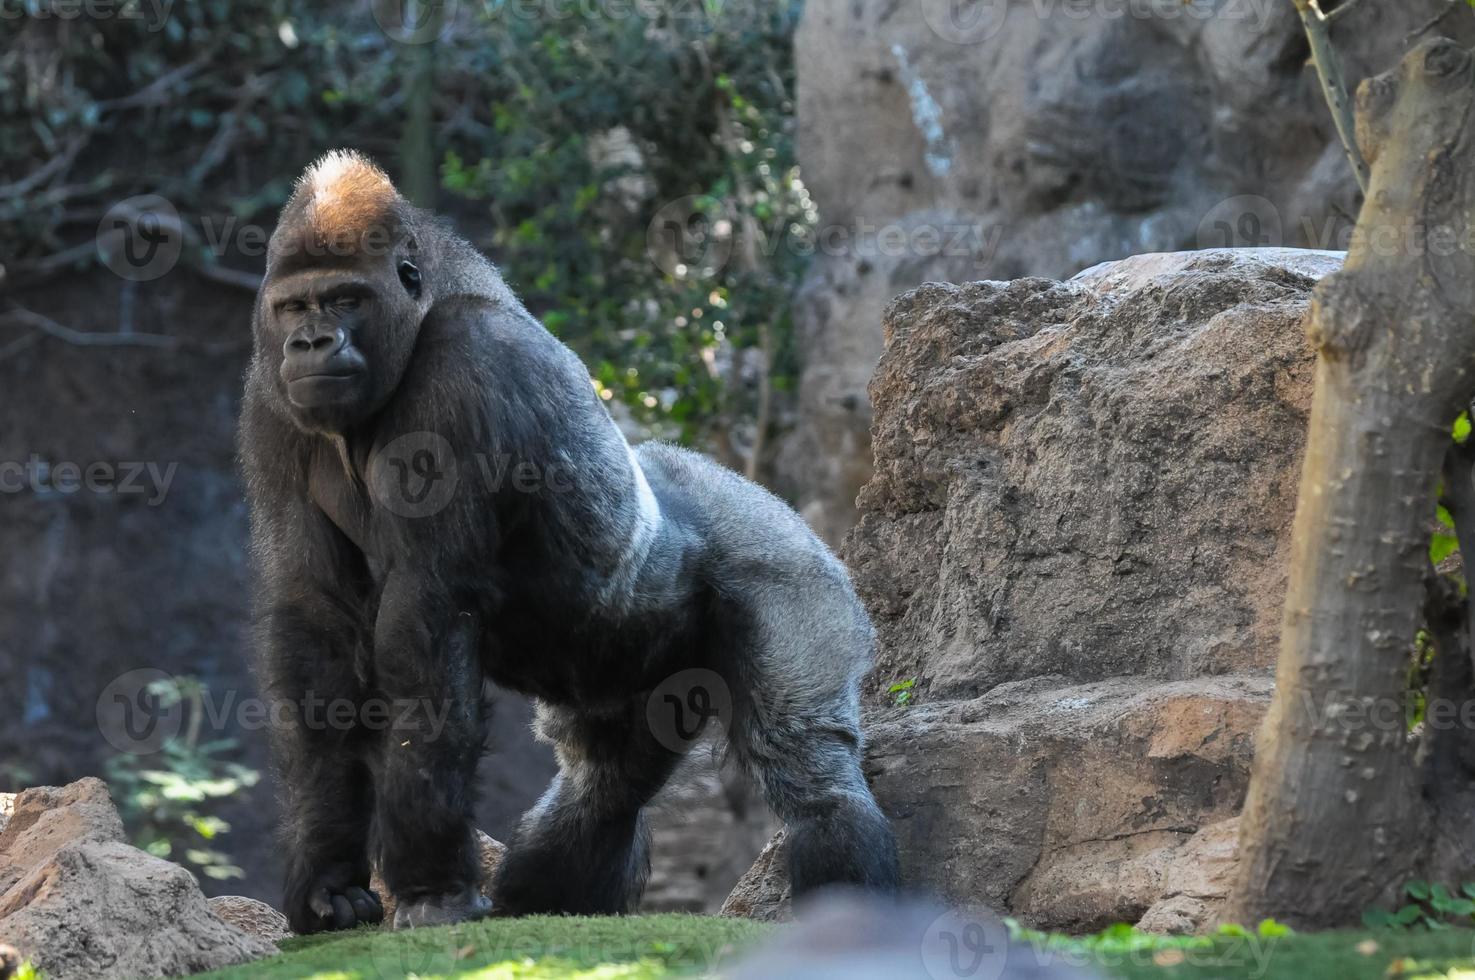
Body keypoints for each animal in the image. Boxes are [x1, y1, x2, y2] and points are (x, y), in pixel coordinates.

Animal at [241, 149, 896, 932]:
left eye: (344, 300)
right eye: (294, 307)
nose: (311, 342)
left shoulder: (466, 362)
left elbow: (426, 616)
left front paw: (430, 886)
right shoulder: (270, 399)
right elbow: (315, 623)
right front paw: (327, 878)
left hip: (792, 567)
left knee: (810, 770)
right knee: (603, 787)